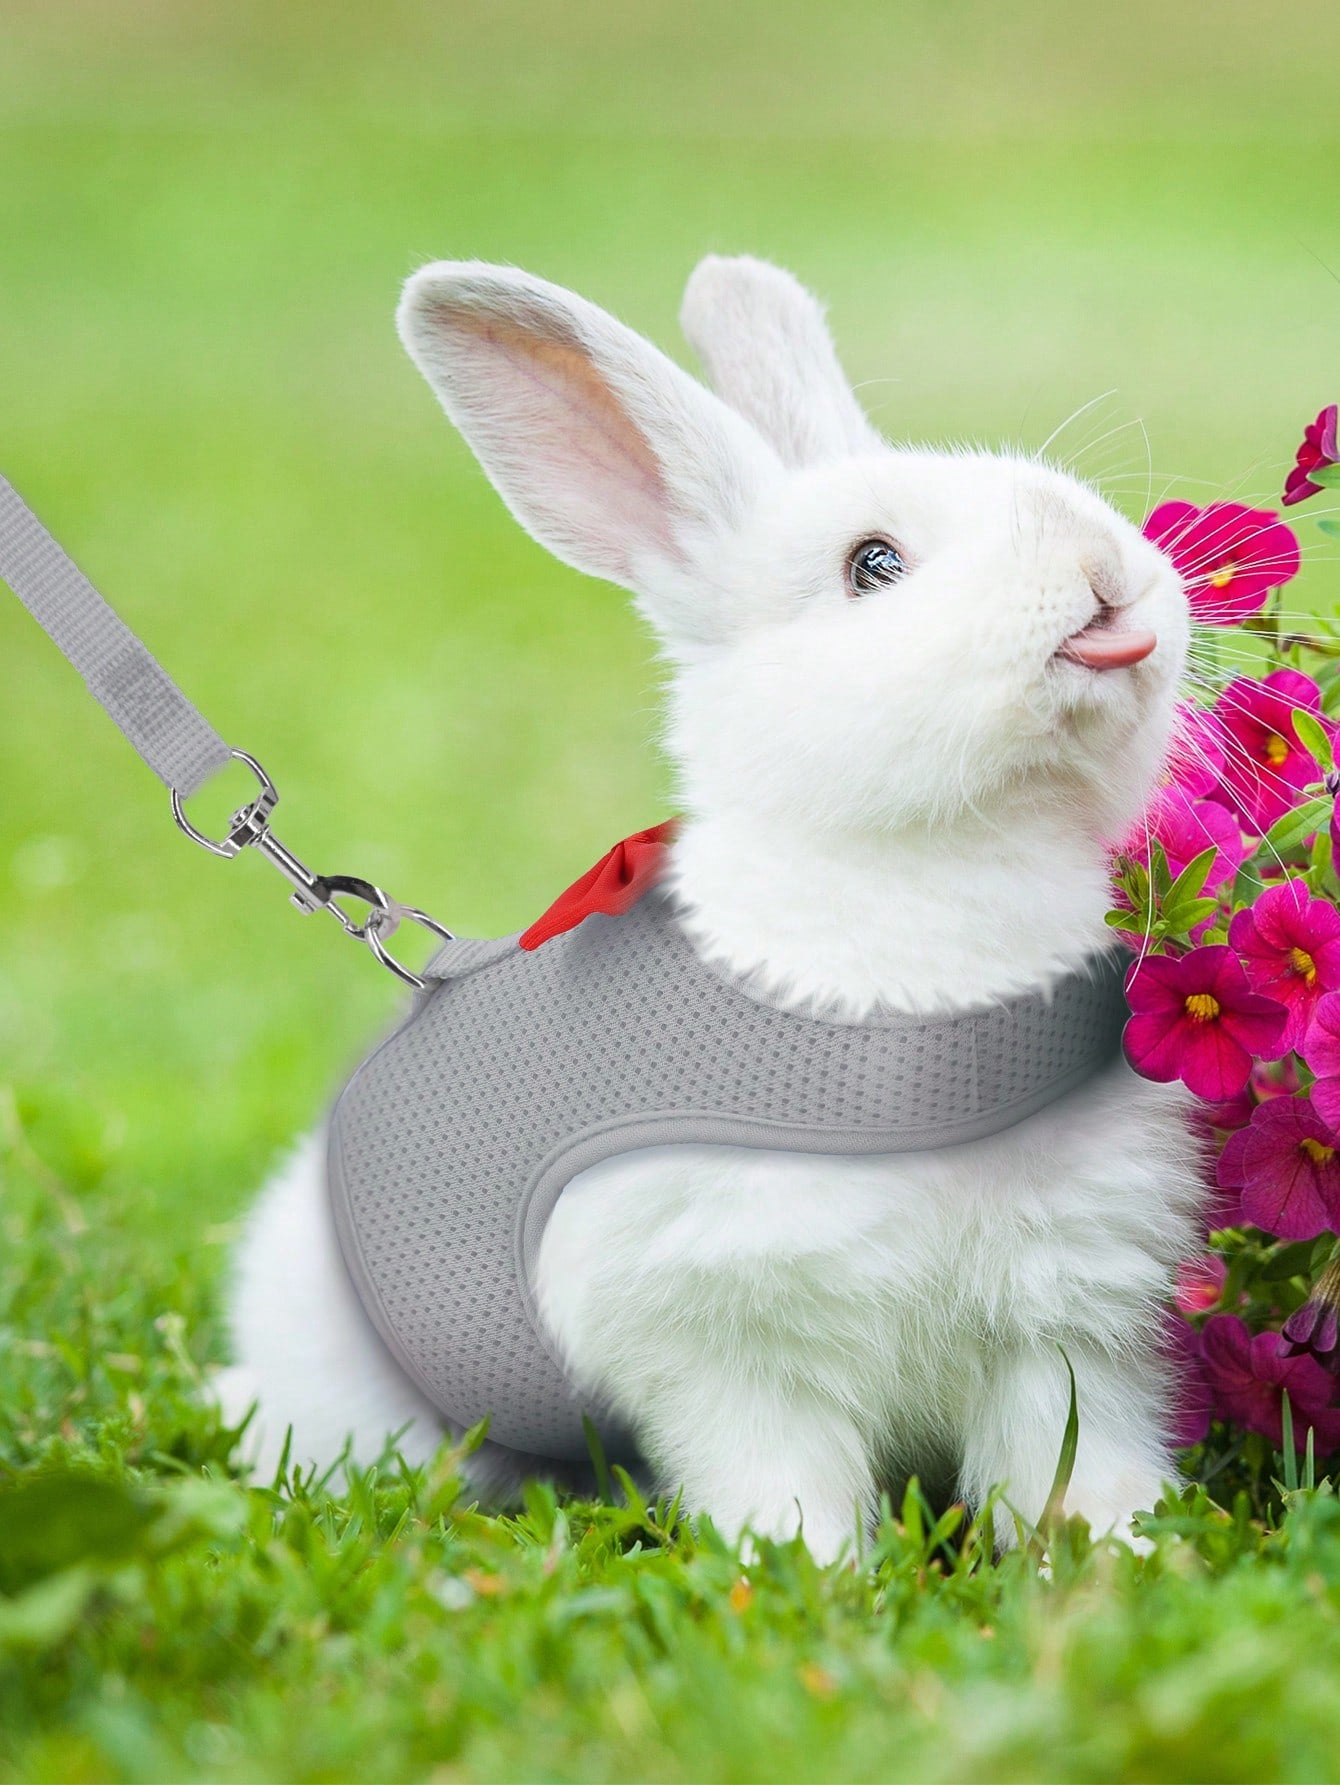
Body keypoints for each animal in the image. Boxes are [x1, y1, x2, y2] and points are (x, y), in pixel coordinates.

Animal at [217, 255, 1201, 1561]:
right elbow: (775, 1474)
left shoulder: (1065, 1317)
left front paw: (1121, 1556)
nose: (1104, 566)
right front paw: (813, 1576)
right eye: (872, 565)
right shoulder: (727, 1338)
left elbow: (1069, 1463)